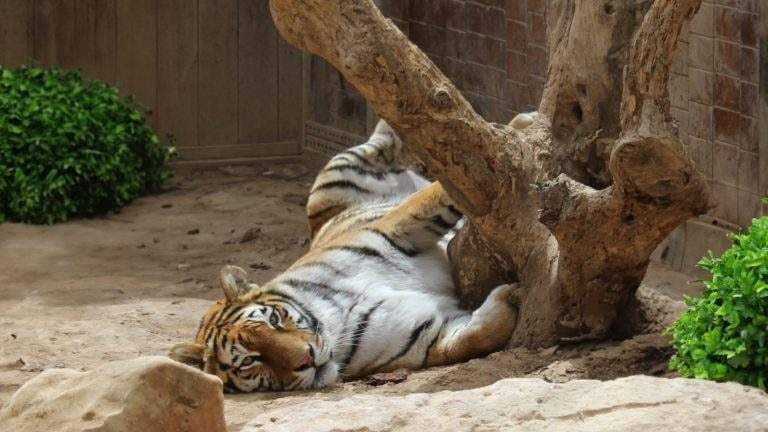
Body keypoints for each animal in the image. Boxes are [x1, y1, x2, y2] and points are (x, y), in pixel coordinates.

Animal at [169, 120, 520, 392]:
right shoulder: (422, 337)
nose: (307, 358)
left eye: (274, 320)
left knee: (386, 146)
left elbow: (443, 191)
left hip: (334, 176)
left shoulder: (396, 229)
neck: (334, 319)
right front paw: (509, 300)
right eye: (251, 361)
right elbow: (472, 339)